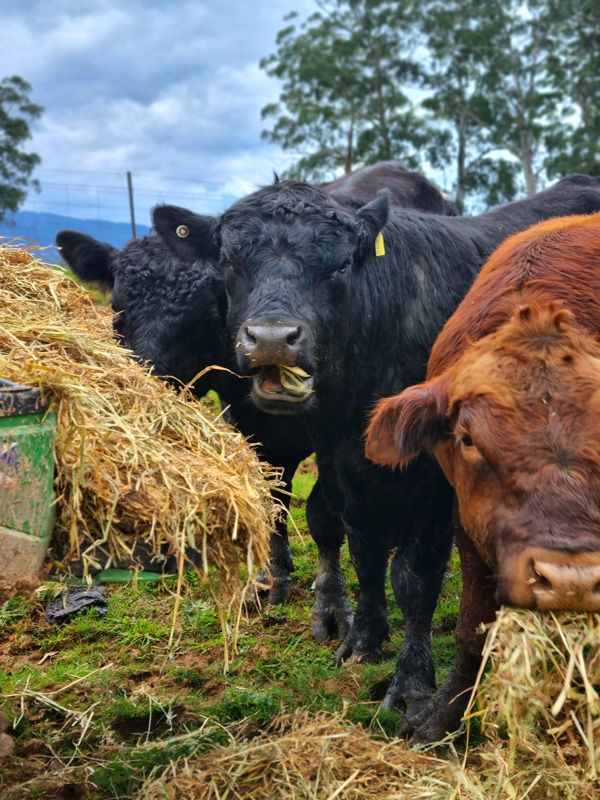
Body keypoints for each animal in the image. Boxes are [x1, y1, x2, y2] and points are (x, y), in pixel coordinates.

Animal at [56, 161, 452, 636]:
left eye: (202, 314)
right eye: (118, 309)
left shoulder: (331, 437)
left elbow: (322, 516)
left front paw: (331, 603)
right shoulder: (251, 429)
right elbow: (274, 504)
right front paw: (271, 577)